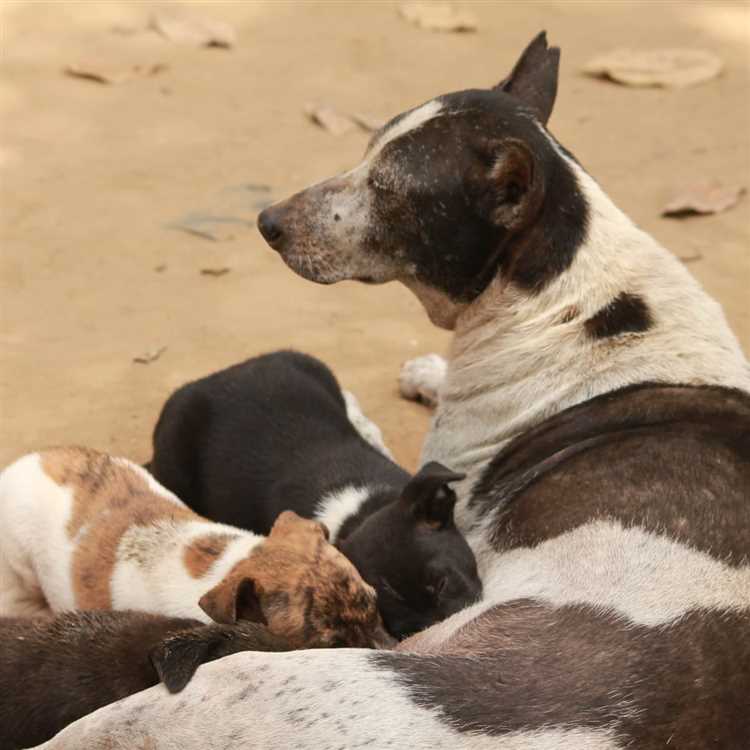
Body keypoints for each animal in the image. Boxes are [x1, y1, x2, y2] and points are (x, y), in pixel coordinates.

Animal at [0, 446, 390, 652]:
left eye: (375, 608)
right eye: (333, 645)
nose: (391, 653)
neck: (232, 563)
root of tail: (26, 461)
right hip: (19, 567)